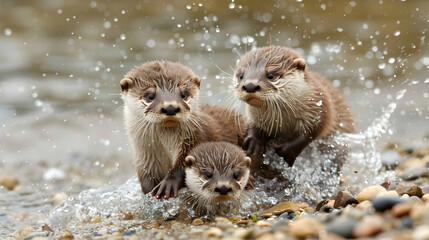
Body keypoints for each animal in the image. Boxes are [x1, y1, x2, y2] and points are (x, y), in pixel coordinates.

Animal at [122, 60, 246, 199]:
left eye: (183, 94)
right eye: (150, 95)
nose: (170, 107)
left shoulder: (194, 139)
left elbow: (184, 164)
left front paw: (168, 184)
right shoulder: (144, 154)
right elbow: (146, 177)